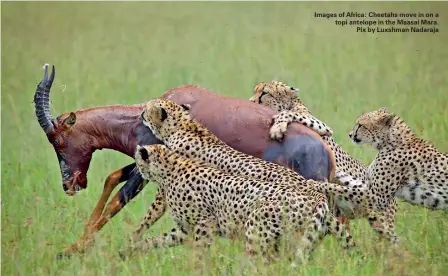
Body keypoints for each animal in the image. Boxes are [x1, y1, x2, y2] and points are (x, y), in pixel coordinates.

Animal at [127, 99, 360, 260]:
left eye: (148, 108)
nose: (140, 113)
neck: (182, 126)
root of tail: (310, 187)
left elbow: (154, 211)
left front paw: (135, 235)